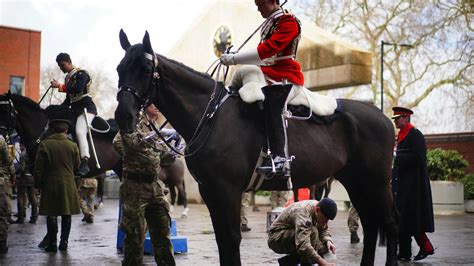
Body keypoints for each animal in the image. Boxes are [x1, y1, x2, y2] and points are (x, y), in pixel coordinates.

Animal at [115, 30, 400, 264]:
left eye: (144, 68)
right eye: (120, 68)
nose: (123, 117)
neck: (210, 116)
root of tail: (385, 118)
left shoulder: (227, 189)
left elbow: (231, 239)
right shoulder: (211, 191)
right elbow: (222, 239)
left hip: (376, 182)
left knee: (389, 223)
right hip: (356, 181)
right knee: (371, 224)